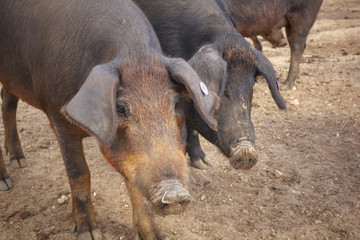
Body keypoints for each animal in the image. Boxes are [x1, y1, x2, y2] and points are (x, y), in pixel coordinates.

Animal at [0, 0, 219, 239]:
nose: (175, 193)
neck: (135, 55)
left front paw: (156, 235)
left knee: (7, 100)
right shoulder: (59, 119)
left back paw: (19, 161)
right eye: (120, 108)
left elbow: (133, 184)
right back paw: (7, 183)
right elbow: (79, 174)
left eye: (177, 103)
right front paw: (89, 233)